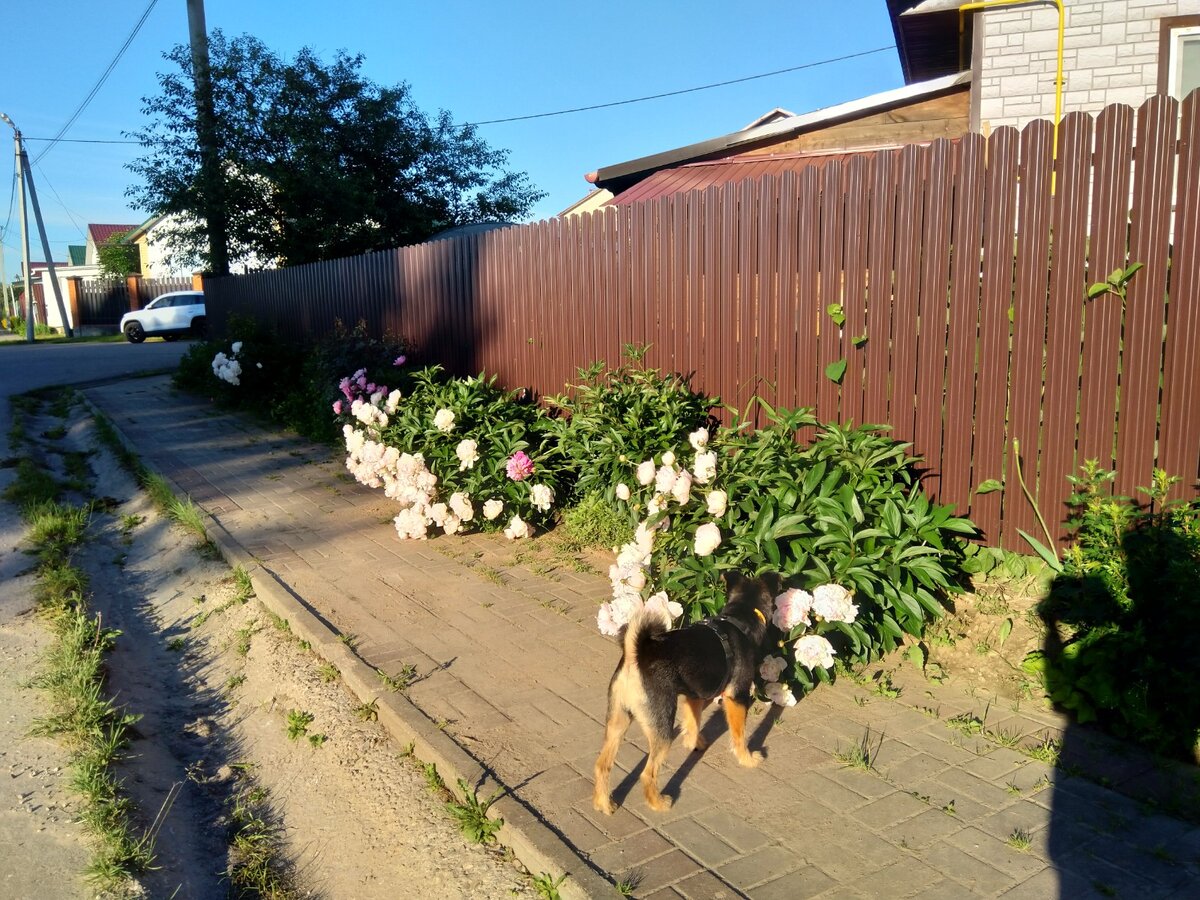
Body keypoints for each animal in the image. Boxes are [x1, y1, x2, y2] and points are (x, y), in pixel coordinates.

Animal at [590, 571, 777, 816]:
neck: (738, 620)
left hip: (618, 719)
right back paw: (658, 803)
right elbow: (739, 735)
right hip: (661, 728)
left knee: (602, 764)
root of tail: (634, 656)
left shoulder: (695, 695)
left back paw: (604, 803)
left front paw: (694, 742)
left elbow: (693, 721)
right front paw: (747, 759)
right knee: (646, 773)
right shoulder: (736, 697)